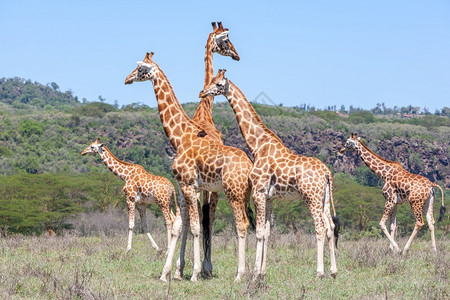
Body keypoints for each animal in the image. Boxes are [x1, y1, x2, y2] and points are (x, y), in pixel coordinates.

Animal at [125, 52, 255, 282]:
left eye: (140, 69)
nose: (127, 79)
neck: (180, 137)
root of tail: (249, 166)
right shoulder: (182, 187)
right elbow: (178, 226)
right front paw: (166, 273)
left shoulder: (190, 185)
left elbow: (194, 226)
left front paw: (194, 273)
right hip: (242, 193)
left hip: (233, 192)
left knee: (241, 224)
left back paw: (240, 274)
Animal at [199, 70, 340, 278]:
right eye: (211, 80)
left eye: (218, 84)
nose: (202, 92)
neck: (257, 145)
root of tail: (327, 173)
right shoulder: (269, 197)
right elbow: (266, 232)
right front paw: (262, 272)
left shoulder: (258, 192)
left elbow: (258, 232)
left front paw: (254, 272)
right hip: (324, 199)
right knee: (330, 227)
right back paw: (333, 271)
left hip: (311, 196)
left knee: (320, 228)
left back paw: (320, 272)